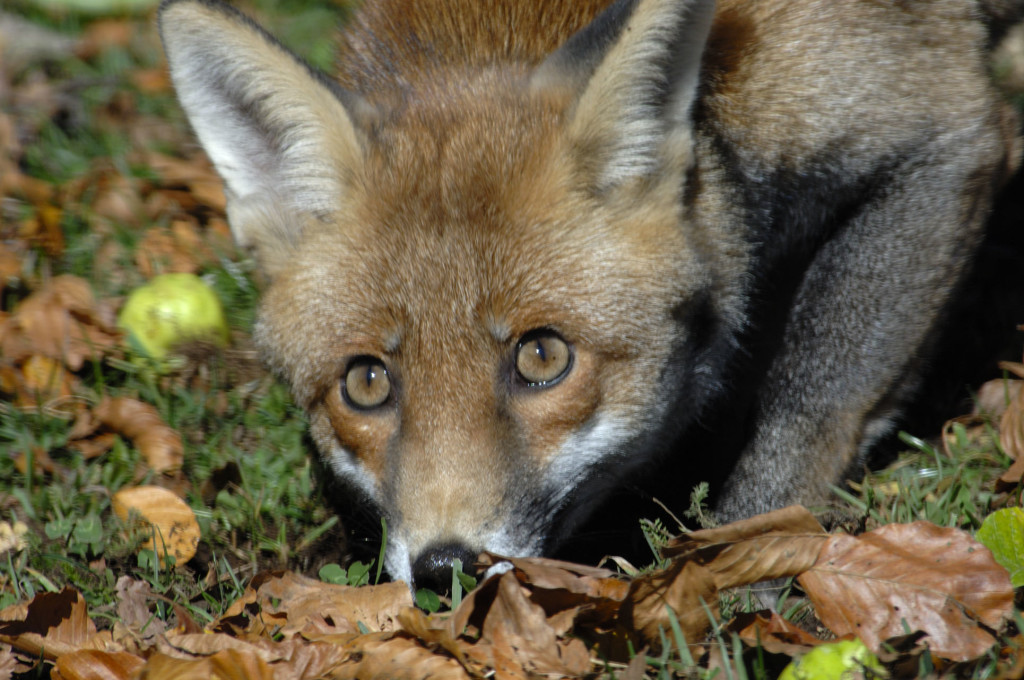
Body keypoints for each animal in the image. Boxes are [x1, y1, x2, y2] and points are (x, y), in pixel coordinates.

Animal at [158, 0, 1022, 589]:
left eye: (543, 357)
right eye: (366, 382)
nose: (444, 566)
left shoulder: (943, 132)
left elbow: (810, 406)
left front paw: (745, 567)